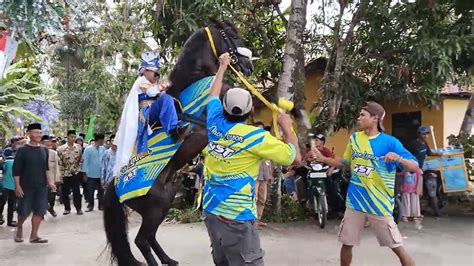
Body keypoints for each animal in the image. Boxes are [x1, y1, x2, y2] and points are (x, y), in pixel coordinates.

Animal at [102, 21, 254, 266]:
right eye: (232, 35)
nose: (248, 66)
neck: (197, 76)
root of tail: (113, 186)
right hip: (155, 207)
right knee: (141, 240)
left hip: (165, 200)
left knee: (149, 236)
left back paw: (168, 259)